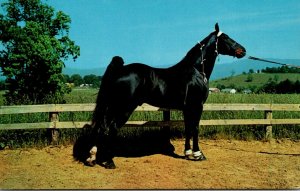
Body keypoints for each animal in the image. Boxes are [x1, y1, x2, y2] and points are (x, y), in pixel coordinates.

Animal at [84, 23, 246, 168]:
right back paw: (109, 161)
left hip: (111, 107)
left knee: (101, 127)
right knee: (111, 128)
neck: (196, 71)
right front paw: (198, 154)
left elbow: (188, 128)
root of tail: (120, 70)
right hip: (123, 108)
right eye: (225, 37)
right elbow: (195, 128)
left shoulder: (187, 108)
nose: (243, 50)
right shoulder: (197, 106)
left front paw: (188, 153)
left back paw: (92, 158)